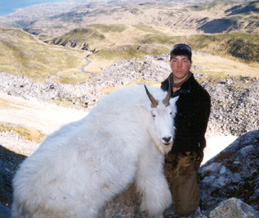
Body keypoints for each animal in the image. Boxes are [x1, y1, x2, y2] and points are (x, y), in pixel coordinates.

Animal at [12, 84, 179, 218]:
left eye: (171, 113)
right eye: (154, 114)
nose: (166, 139)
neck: (138, 115)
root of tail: (24, 200)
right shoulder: (147, 159)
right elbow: (156, 192)